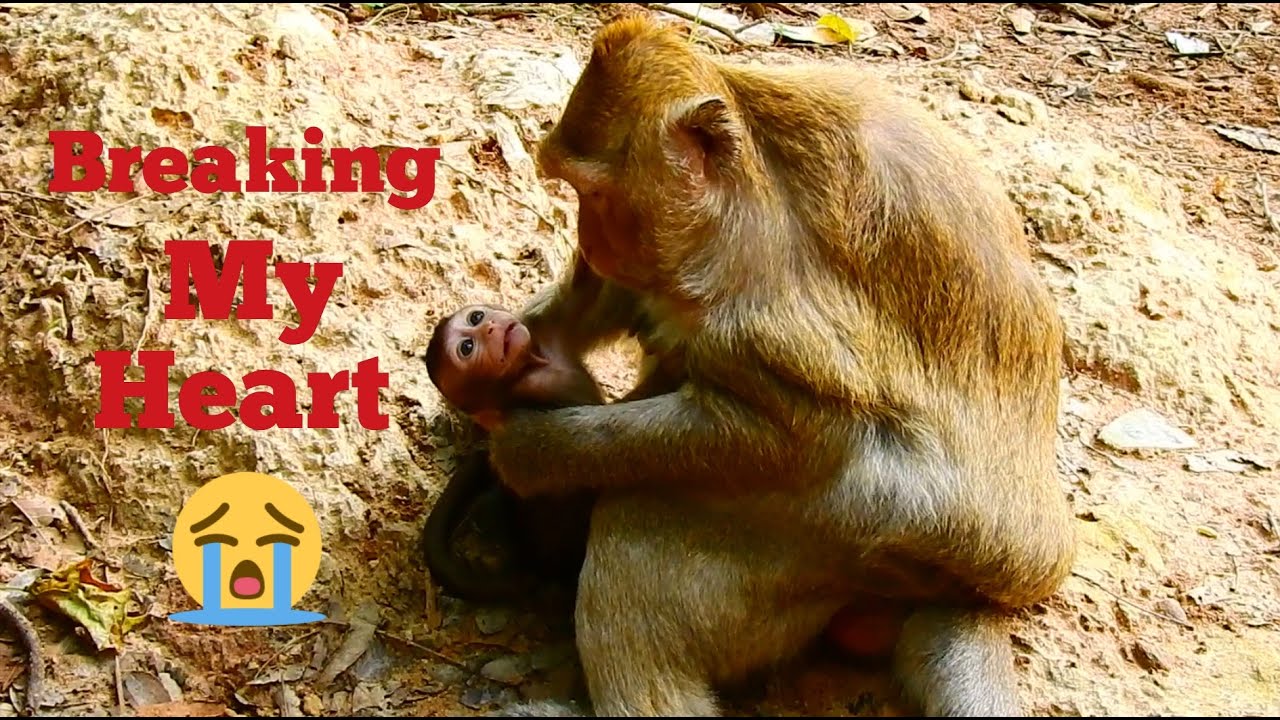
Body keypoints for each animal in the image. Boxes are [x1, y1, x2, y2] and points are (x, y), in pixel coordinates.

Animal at [480, 13, 1076, 718]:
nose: (589, 240)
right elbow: (626, 297)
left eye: (595, 193)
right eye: (572, 189)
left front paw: (532, 448)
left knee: (642, 519)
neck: (748, 183)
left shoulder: (764, 315)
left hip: (847, 543)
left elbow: (789, 434)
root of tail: (979, 594)